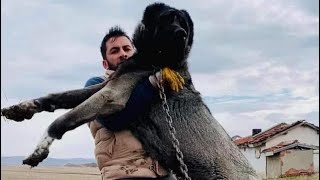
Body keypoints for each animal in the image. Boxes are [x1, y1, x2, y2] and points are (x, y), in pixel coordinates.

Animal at [1, 2, 258, 180]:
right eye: (168, 20)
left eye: (183, 24)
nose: (182, 34)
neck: (154, 60)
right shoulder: (107, 83)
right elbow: (60, 97)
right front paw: (22, 108)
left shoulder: (113, 96)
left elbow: (62, 119)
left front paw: (40, 149)